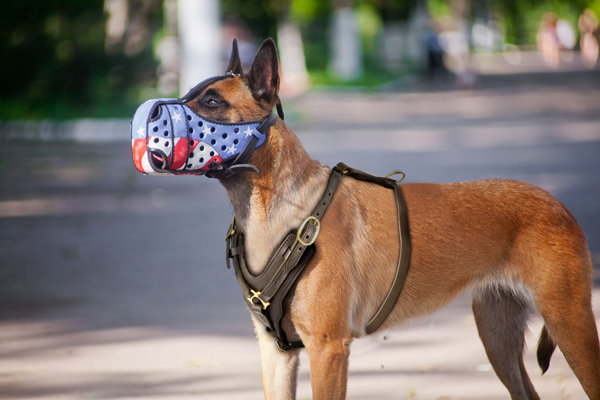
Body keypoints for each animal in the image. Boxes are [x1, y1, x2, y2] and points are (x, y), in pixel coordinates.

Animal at [175, 38, 600, 400]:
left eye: (211, 101)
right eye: (189, 94)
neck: (281, 211)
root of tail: (556, 202)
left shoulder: (327, 350)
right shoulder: (277, 354)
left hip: (568, 323)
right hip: (497, 337)